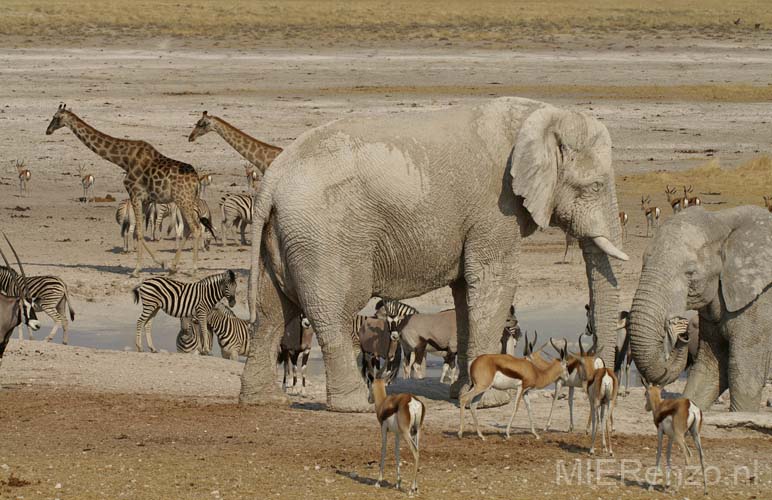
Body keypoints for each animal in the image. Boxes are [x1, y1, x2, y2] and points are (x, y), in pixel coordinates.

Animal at [46, 104, 204, 278]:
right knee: (188, 228)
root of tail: (196, 180)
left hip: (184, 200)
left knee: (196, 228)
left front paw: (136, 270)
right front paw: (162, 263)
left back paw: (194, 269)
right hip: (184, 201)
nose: (48, 130)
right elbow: (137, 232)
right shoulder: (145, 199)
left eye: (56, 117)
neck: (124, 160)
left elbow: (139, 232)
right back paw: (173, 267)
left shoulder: (135, 194)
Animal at [241, 96, 628, 410]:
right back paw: (354, 406)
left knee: (271, 311)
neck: (540, 115)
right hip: (324, 239)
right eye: (594, 186)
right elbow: (492, 283)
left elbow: (465, 292)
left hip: (282, 236)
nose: (601, 384)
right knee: (333, 311)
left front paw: (463, 392)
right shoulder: (495, 209)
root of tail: (272, 179)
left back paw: (266, 399)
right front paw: (491, 401)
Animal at [632, 205, 772, 412]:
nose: (683, 334)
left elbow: (743, 376)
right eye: (643, 263)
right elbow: (709, 370)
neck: (722, 220)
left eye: (690, 273)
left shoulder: (759, 305)